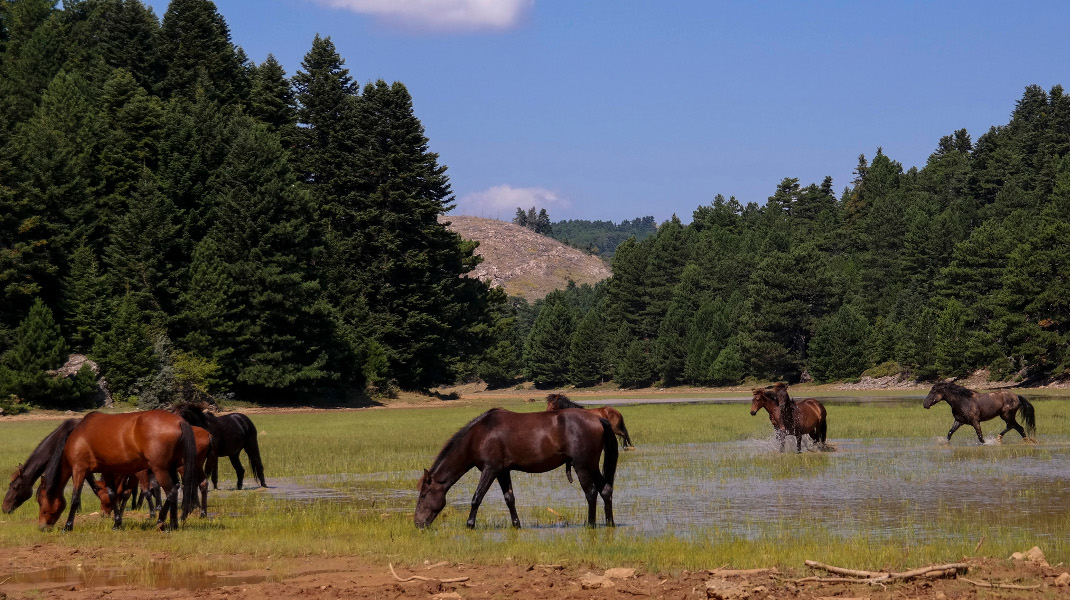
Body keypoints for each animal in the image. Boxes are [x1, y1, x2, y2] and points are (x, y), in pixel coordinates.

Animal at [37, 408, 201, 530]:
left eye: (40, 500)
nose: (42, 526)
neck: (78, 436)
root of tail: (179, 421)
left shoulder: (79, 469)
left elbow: (75, 498)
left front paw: (68, 526)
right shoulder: (107, 470)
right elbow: (112, 494)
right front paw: (117, 523)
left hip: (160, 469)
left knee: (171, 491)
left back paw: (168, 524)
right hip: (170, 468)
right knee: (176, 488)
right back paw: (164, 521)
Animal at [415, 406, 620, 528]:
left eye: (424, 495)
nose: (418, 523)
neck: (480, 435)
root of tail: (598, 419)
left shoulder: (490, 470)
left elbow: (476, 498)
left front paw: (470, 524)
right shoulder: (502, 471)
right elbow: (509, 499)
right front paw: (516, 524)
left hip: (582, 466)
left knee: (591, 492)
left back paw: (591, 524)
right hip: (591, 465)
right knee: (605, 490)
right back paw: (610, 522)